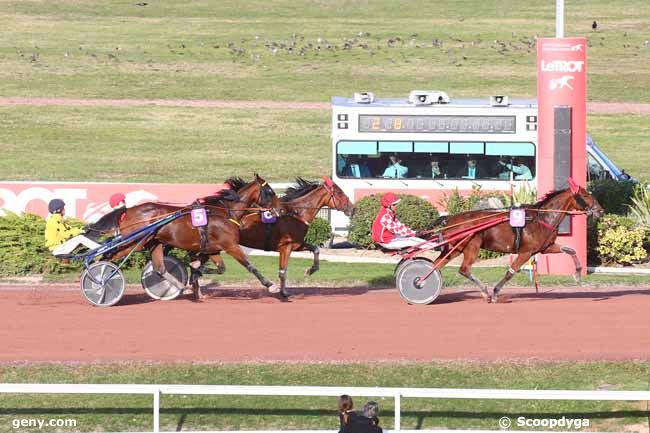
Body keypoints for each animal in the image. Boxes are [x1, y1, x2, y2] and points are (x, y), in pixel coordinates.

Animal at [86, 175, 278, 296]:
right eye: (270, 191)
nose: (278, 210)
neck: (224, 212)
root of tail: (128, 210)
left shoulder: (213, 249)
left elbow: (219, 268)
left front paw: (194, 275)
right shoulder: (230, 245)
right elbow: (250, 266)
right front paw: (271, 286)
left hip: (153, 242)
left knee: (160, 268)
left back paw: (180, 287)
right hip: (134, 242)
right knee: (108, 256)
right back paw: (98, 280)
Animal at [426, 181, 604, 302]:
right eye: (586, 195)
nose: (601, 211)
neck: (541, 218)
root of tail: (449, 218)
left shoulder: (546, 247)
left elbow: (571, 250)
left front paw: (578, 274)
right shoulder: (526, 252)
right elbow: (511, 271)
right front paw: (495, 292)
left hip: (455, 248)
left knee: (437, 265)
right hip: (472, 246)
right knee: (464, 269)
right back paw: (484, 291)